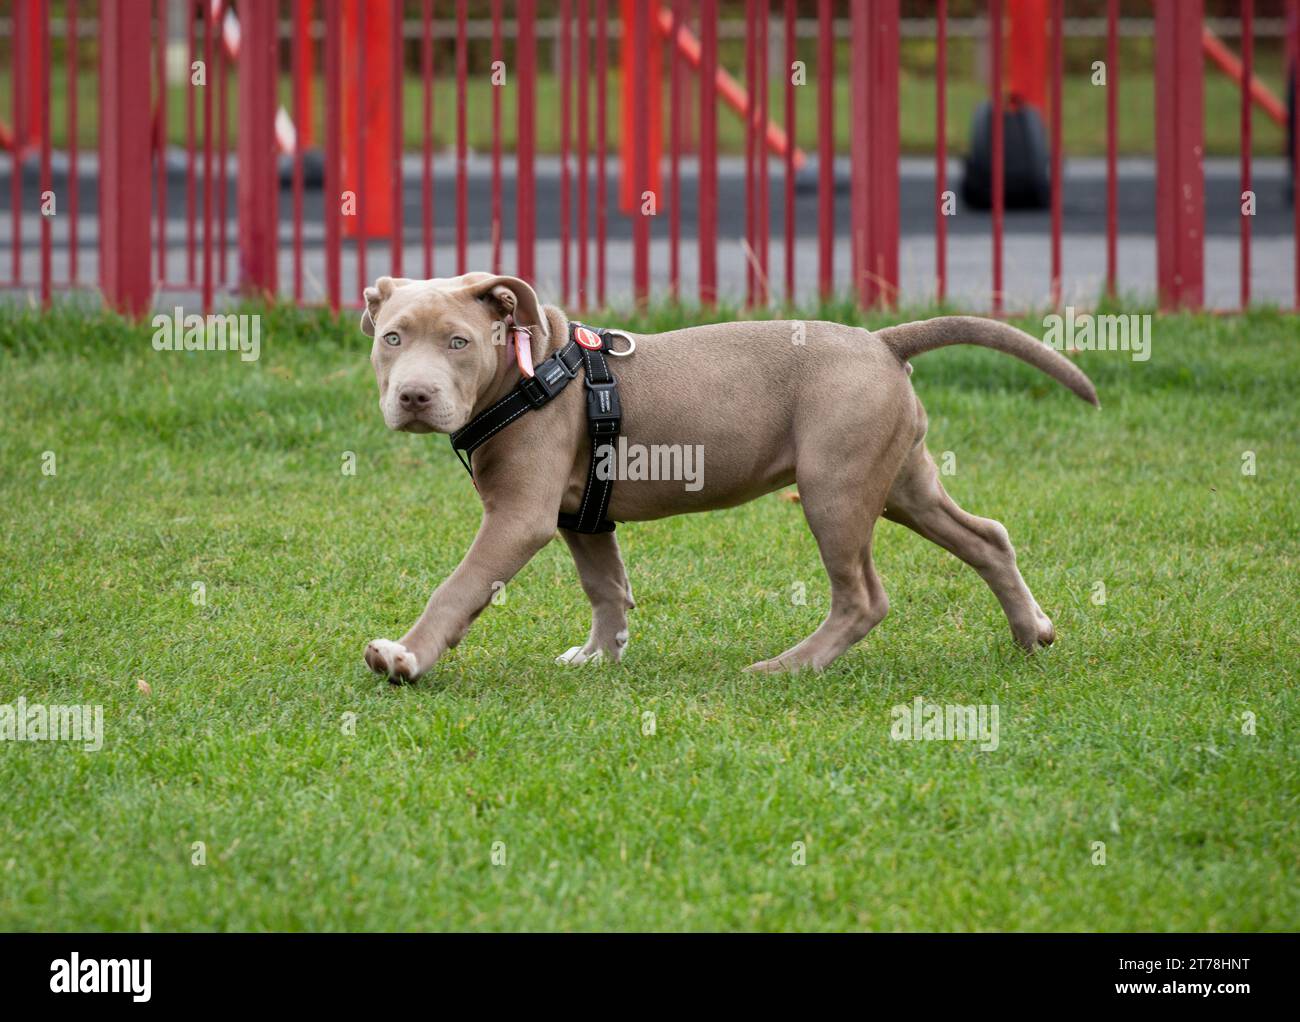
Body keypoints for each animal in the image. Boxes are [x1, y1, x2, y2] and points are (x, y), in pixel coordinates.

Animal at [364, 274, 1097, 681]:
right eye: (391, 338)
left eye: (458, 342)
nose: (415, 397)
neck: (529, 370)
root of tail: (881, 341)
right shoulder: (582, 516)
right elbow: (606, 587)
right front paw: (601, 656)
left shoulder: (519, 518)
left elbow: (459, 588)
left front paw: (406, 657)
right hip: (901, 482)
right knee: (987, 536)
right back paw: (1031, 632)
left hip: (835, 489)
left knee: (864, 597)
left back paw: (789, 667)